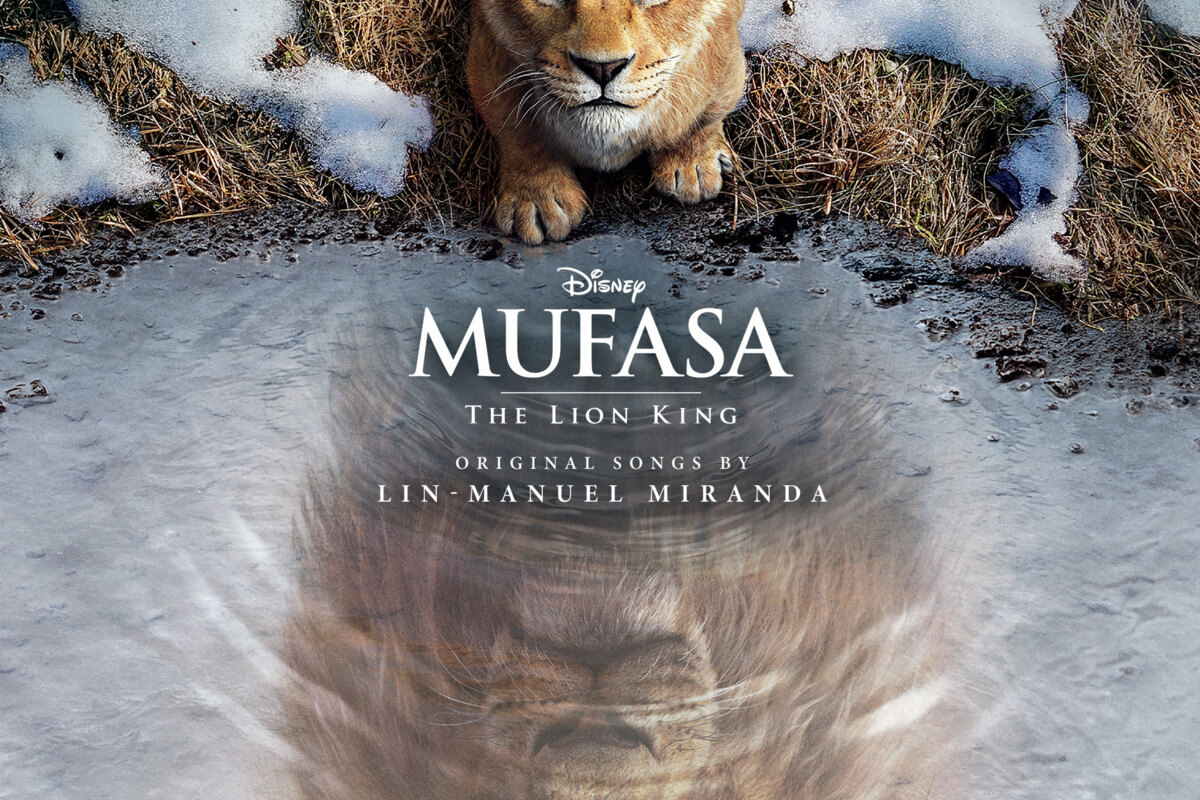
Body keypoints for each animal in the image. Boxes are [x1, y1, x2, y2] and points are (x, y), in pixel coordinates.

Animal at [467, 0, 748, 244]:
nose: (602, 68)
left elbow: (706, 109)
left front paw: (693, 167)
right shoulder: (487, 55)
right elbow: (517, 129)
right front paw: (538, 201)